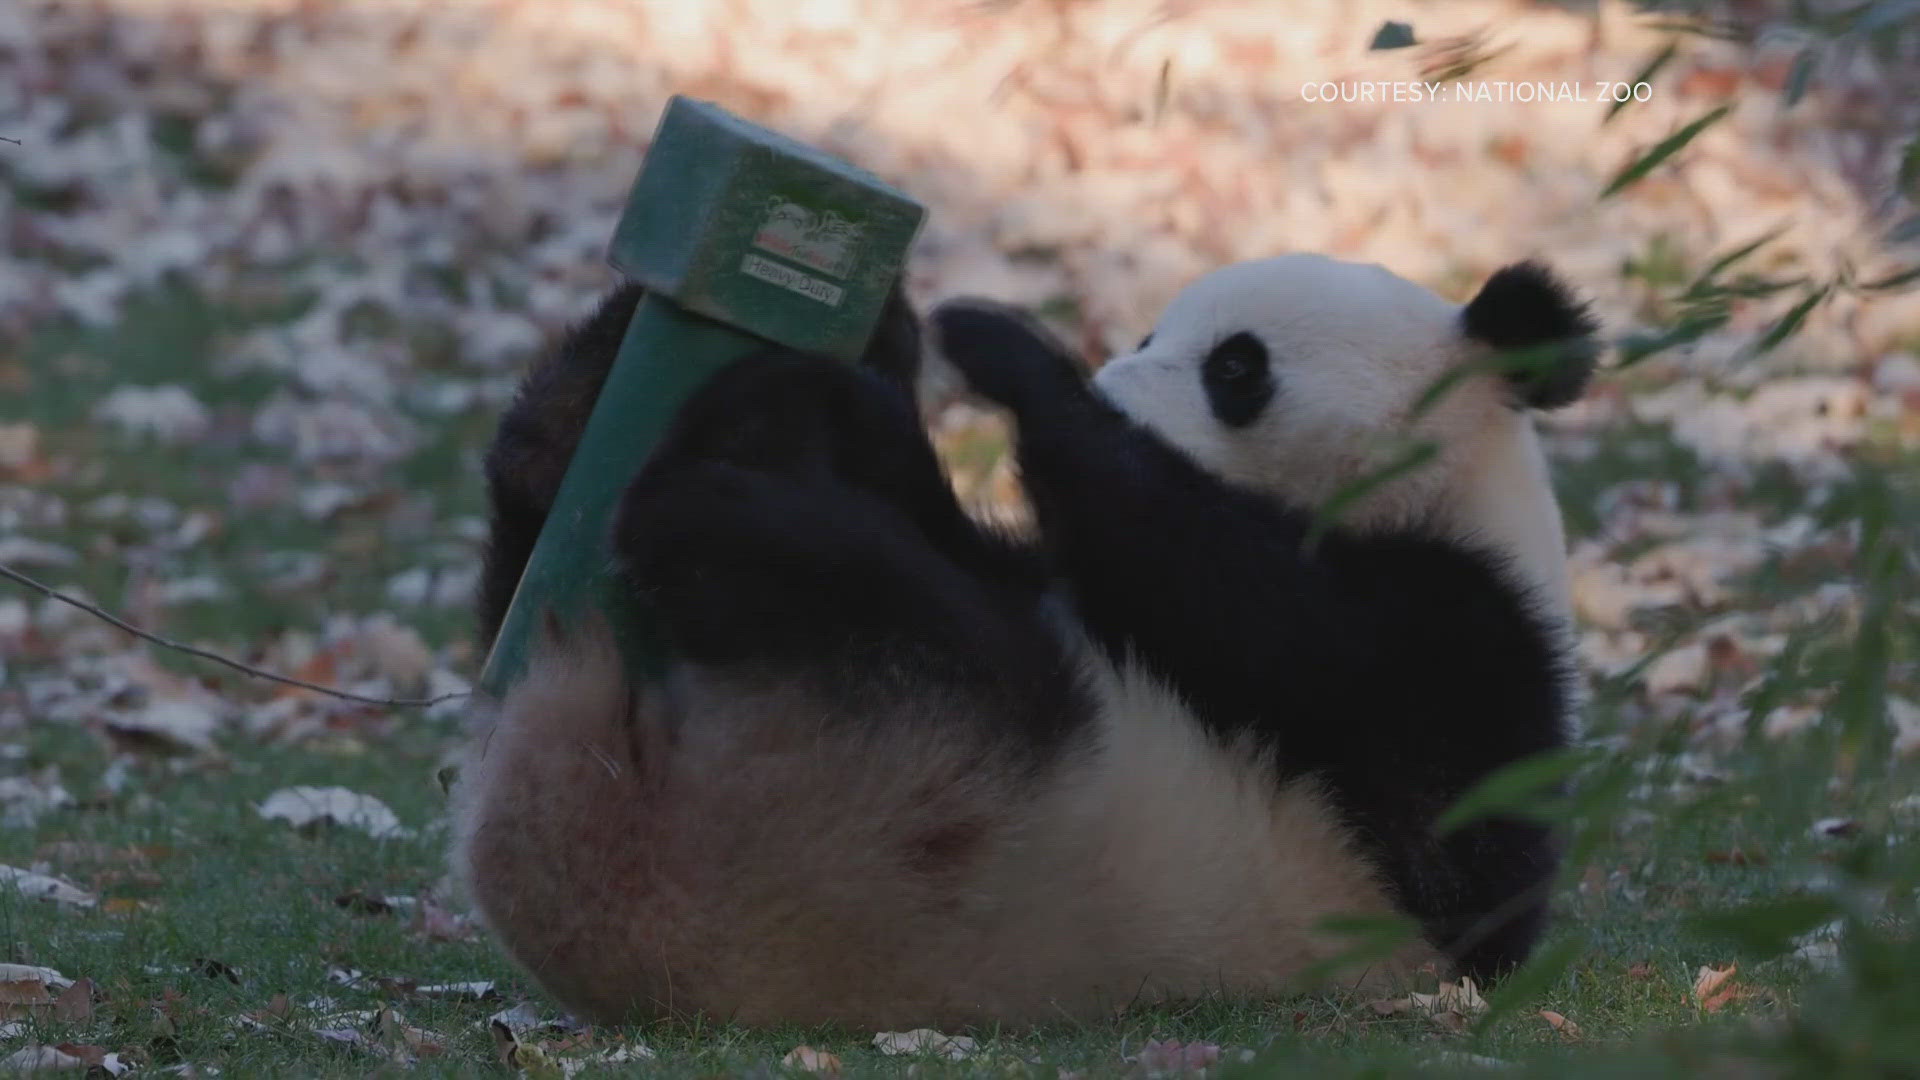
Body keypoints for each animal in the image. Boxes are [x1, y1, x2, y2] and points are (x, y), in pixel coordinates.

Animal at [445, 249, 1589, 1022]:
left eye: (1237, 368)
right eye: (1149, 334)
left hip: (952, 809)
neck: (1438, 489)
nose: (1117, 379)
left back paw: (720, 499)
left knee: (911, 617)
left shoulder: (1462, 649)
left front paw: (1010, 354)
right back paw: (614, 403)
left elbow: (1274, 618)